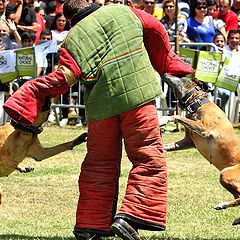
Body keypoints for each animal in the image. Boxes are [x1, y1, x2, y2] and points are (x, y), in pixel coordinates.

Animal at [160, 73, 240, 225]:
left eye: (179, 75)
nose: (165, 73)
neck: (198, 104)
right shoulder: (187, 142)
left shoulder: (204, 129)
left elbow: (176, 115)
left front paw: (163, 118)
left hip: (225, 174)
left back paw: (223, 205)